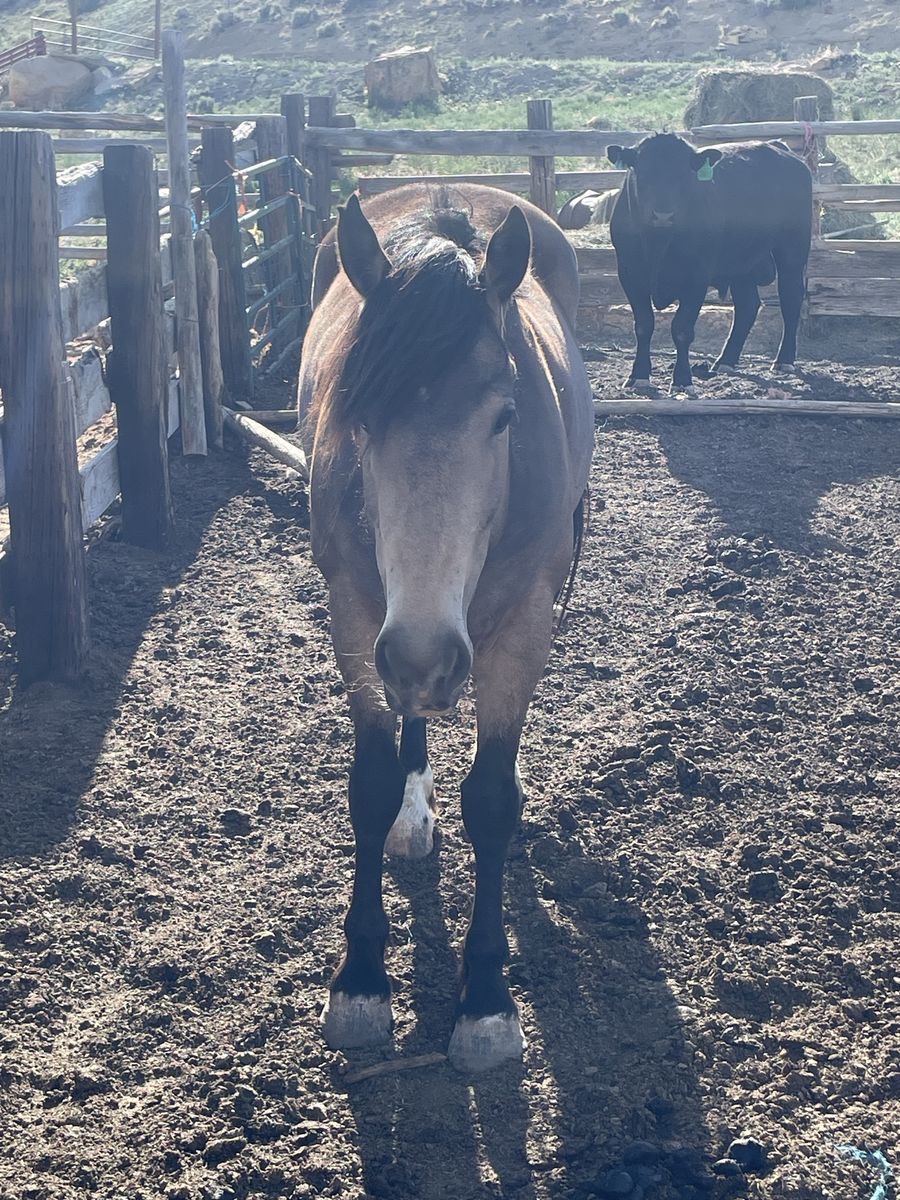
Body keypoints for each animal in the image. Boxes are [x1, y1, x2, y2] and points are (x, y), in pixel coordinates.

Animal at [297, 183, 594, 1072]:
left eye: (505, 416)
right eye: (358, 418)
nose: (424, 658)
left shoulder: (524, 625)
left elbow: (493, 800)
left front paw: (487, 1000)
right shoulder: (358, 616)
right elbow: (367, 784)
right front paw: (361, 982)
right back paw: (413, 810)